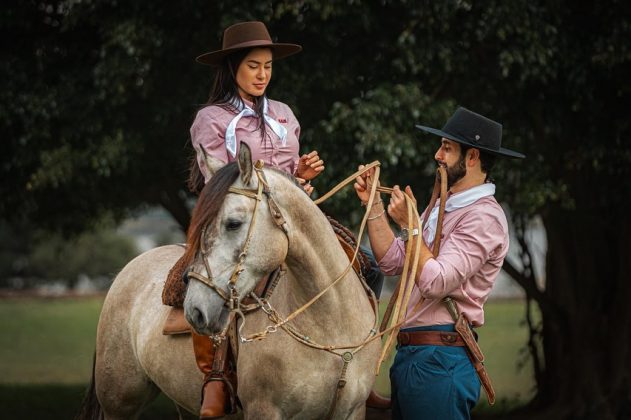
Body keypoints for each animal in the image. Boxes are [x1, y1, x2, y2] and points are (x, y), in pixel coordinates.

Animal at [74, 143, 380, 418]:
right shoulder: (264, 410)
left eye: (233, 223)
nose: (194, 310)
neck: (330, 327)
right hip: (119, 402)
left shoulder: (352, 411)